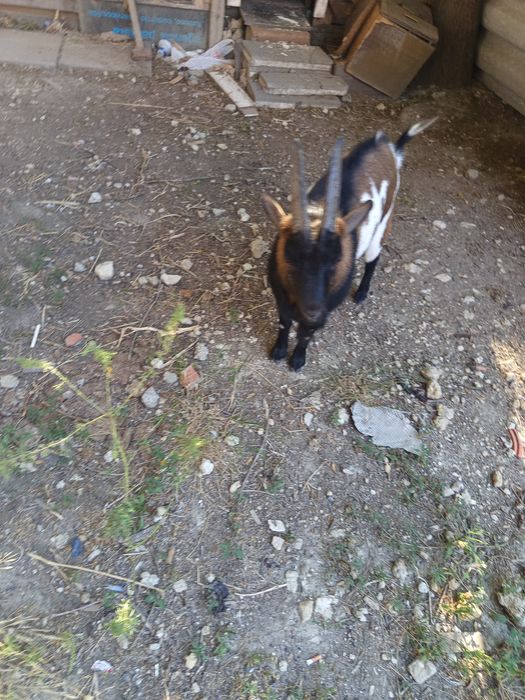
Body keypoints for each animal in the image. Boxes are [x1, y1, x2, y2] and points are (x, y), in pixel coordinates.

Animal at [262, 118, 436, 371]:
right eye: (289, 256)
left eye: (337, 258)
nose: (313, 310)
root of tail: (388, 147)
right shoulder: (282, 298)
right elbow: (284, 322)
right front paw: (278, 351)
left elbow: (306, 333)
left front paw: (297, 359)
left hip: (383, 226)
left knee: (374, 259)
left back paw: (362, 293)